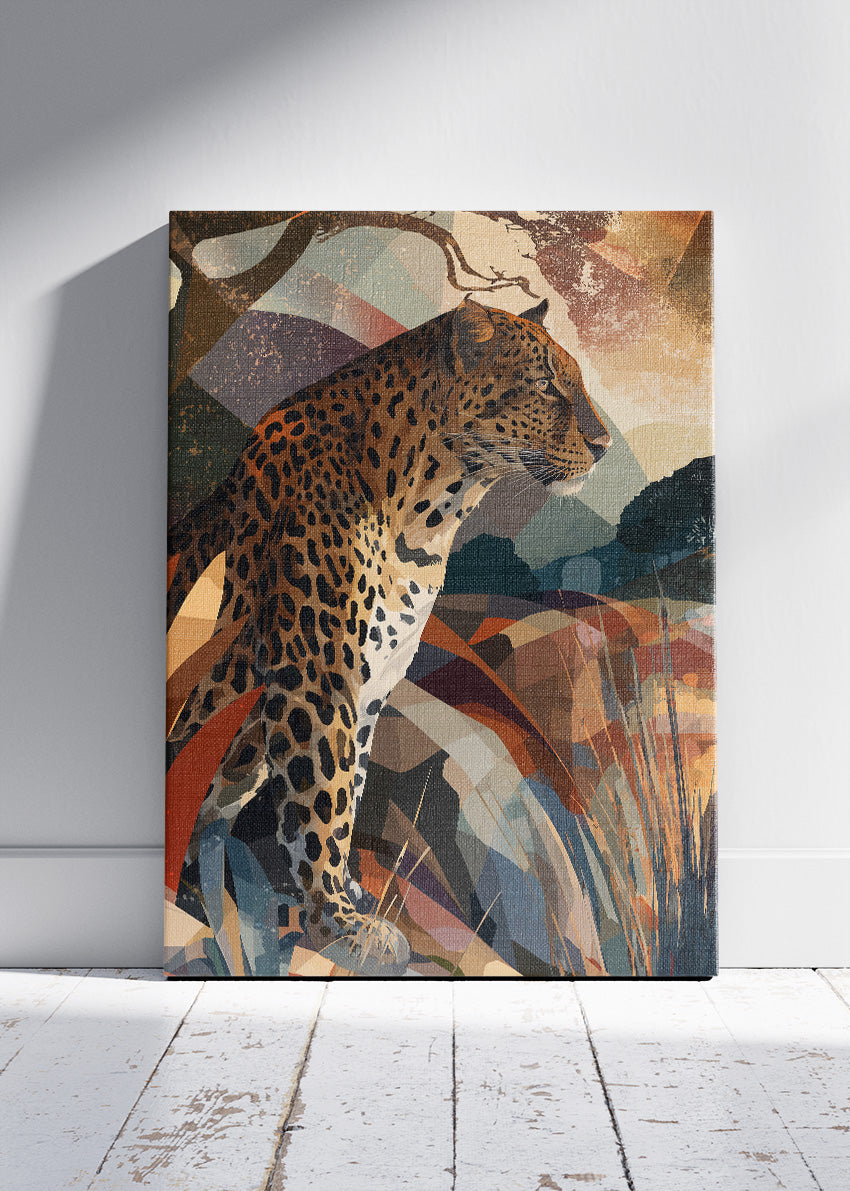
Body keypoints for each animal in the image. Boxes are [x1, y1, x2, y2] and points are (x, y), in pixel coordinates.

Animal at [167, 296, 610, 974]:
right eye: (543, 386)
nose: (605, 444)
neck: (426, 516)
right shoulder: (318, 677)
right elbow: (325, 796)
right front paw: (340, 925)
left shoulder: (371, 684)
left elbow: (348, 790)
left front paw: (341, 896)